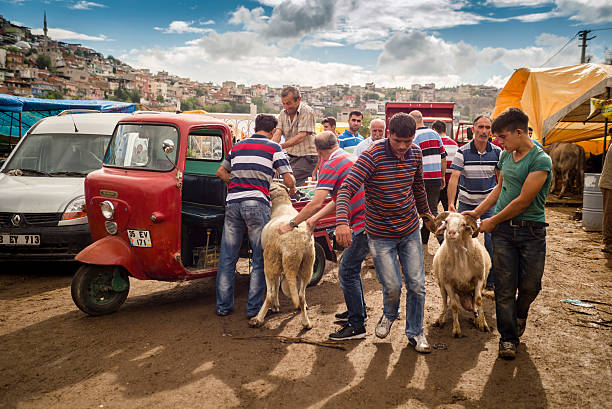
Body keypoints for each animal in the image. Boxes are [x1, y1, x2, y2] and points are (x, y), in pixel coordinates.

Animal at [249, 182, 316, 328]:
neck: (281, 205)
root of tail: (294, 246)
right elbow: (279, 282)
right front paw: (276, 305)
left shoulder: (274, 262)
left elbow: (275, 285)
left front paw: (275, 306)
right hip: (306, 265)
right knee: (301, 295)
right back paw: (306, 322)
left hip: (270, 261)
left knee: (270, 293)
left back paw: (258, 319)